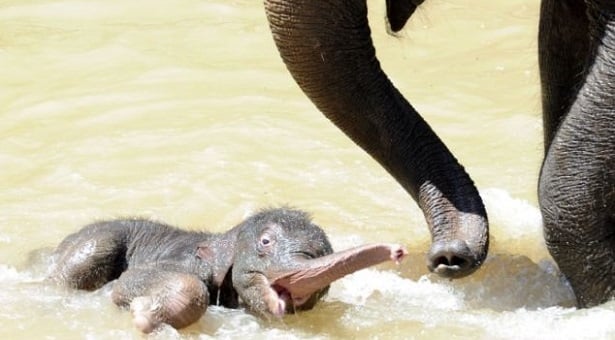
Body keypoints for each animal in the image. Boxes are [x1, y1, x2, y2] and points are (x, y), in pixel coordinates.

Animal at [49, 207, 410, 332]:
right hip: (94, 243)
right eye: (265, 242)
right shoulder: (186, 261)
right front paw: (142, 316)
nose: (398, 251)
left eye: (324, 253)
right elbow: (128, 282)